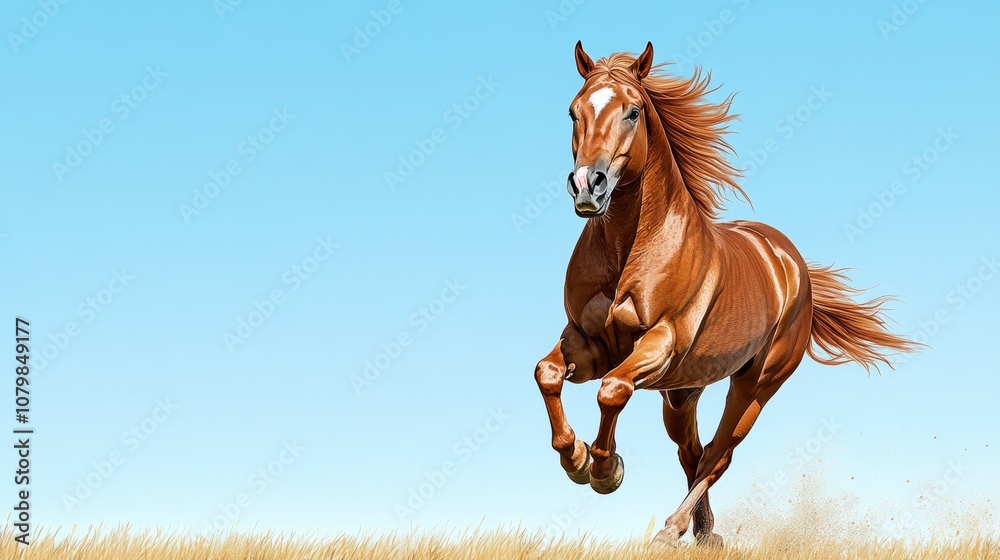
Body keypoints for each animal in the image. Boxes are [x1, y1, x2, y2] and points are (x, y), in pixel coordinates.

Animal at [533, 41, 917, 547]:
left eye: (633, 112)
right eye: (573, 111)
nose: (587, 186)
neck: (627, 250)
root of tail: (791, 263)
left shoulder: (660, 343)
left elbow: (613, 390)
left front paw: (604, 469)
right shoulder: (587, 342)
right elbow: (548, 374)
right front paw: (575, 457)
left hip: (756, 384)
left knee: (719, 454)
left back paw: (673, 529)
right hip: (682, 393)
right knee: (693, 453)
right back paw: (702, 531)